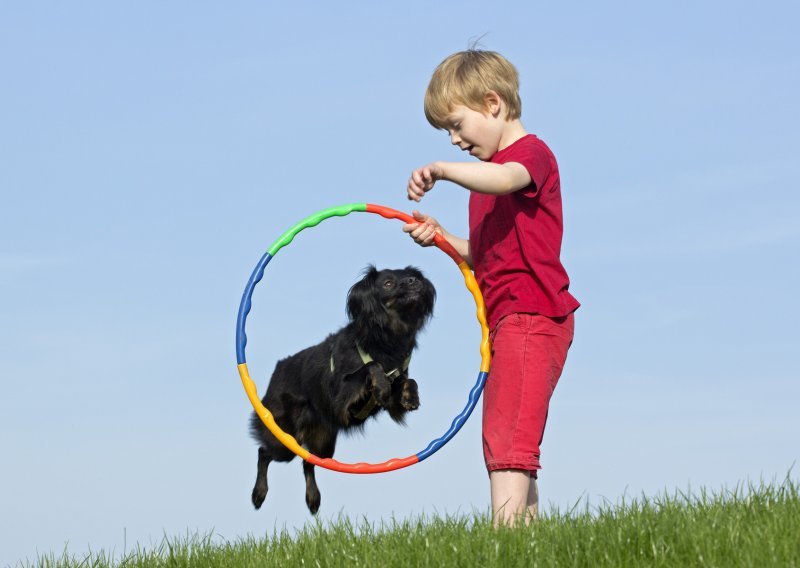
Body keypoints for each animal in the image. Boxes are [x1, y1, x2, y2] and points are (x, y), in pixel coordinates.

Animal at [250, 266, 438, 516]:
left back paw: (313, 499)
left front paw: (411, 396)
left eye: (413, 277)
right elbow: (371, 366)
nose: (413, 281)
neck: (387, 340)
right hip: (284, 438)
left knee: (308, 461)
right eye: (388, 283)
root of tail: (277, 369)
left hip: (324, 444)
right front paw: (380, 385)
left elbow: (408, 382)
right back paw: (258, 494)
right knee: (264, 452)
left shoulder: (393, 396)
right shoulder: (343, 401)